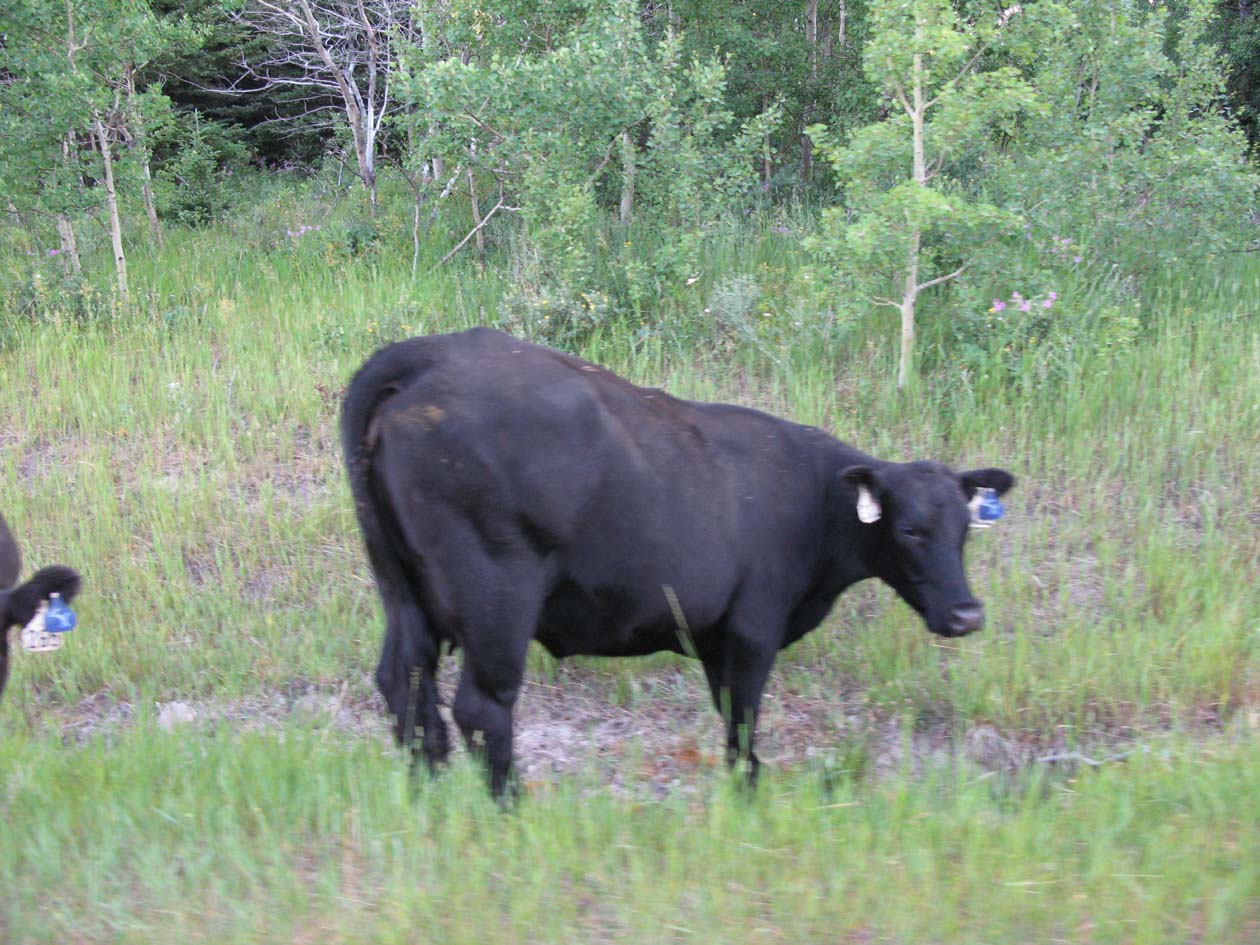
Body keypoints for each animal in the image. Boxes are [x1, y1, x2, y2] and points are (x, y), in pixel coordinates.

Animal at [345, 330, 1013, 796]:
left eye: (965, 531)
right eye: (909, 529)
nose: (967, 614)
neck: (812, 499)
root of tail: (427, 352)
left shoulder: (716, 637)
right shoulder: (752, 628)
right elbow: (742, 724)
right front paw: (748, 800)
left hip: (402, 587)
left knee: (404, 681)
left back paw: (430, 798)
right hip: (495, 595)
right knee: (482, 708)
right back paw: (507, 812)